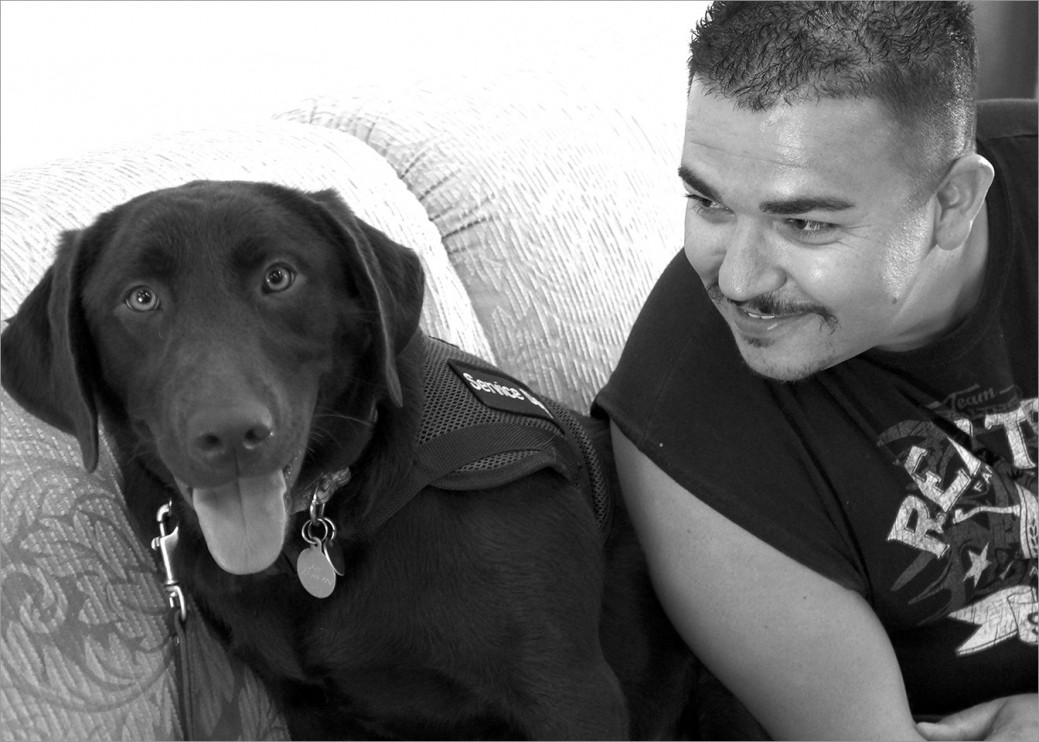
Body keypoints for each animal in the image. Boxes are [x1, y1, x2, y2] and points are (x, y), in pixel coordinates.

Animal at [2, 180, 731, 739]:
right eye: (140, 298)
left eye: (279, 277)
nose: (230, 434)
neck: (315, 528)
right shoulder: (309, 708)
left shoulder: (567, 692)